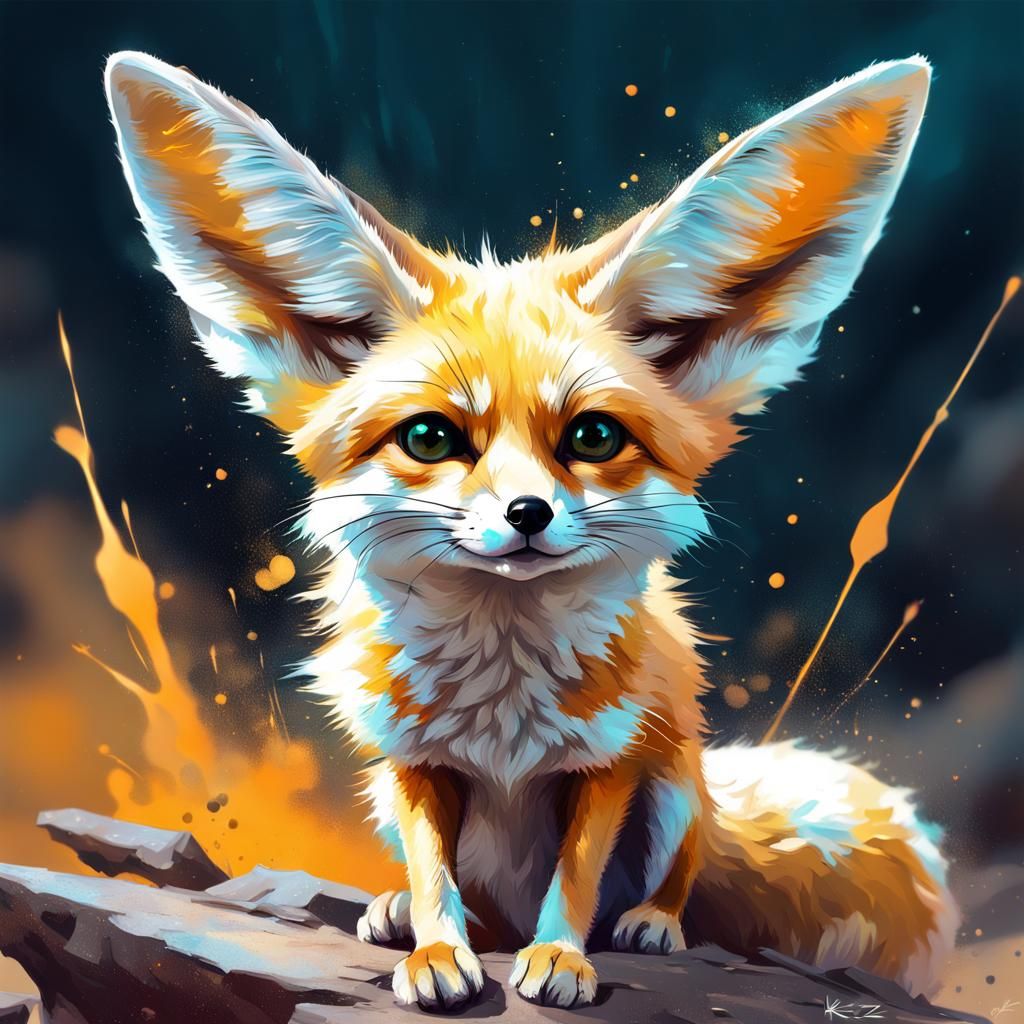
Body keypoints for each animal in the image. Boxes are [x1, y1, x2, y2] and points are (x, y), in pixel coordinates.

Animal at [104, 51, 958, 1012]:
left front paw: (562, 957)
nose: (527, 515)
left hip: (675, 787)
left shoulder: (608, 765)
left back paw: (650, 924)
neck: (501, 699)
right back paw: (399, 914)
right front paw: (437, 950)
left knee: (678, 867)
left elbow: (575, 882)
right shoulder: (412, 763)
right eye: (430, 438)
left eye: (592, 437)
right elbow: (437, 878)